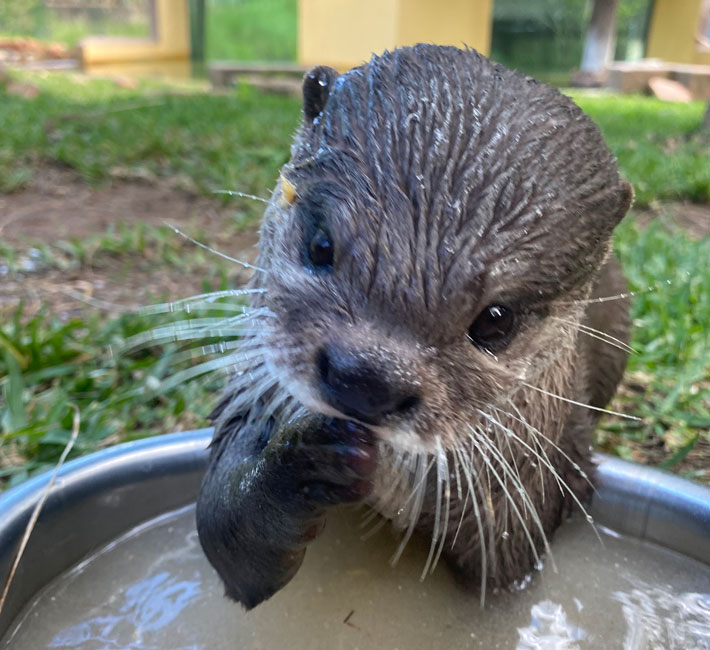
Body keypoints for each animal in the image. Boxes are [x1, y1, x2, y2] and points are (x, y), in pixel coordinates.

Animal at [196, 44, 636, 608]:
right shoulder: (247, 398)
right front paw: (302, 463)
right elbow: (224, 527)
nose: (367, 379)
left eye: (495, 321)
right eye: (320, 245)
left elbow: (505, 559)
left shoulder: (547, 470)